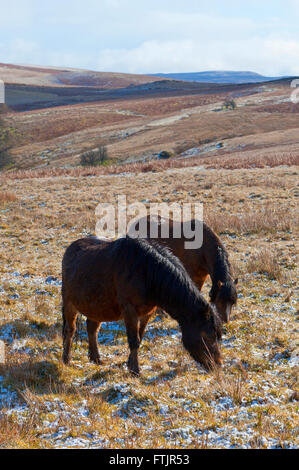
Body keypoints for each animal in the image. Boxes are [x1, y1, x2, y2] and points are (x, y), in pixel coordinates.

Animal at [62, 235, 224, 374]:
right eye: (207, 336)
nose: (217, 364)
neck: (146, 272)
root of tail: (70, 248)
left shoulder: (148, 312)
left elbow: (139, 336)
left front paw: (129, 364)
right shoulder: (129, 311)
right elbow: (134, 340)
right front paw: (135, 370)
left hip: (97, 306)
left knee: (92, 328)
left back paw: (95, 358)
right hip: (69, 302)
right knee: (70, 330)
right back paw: (66, 359)